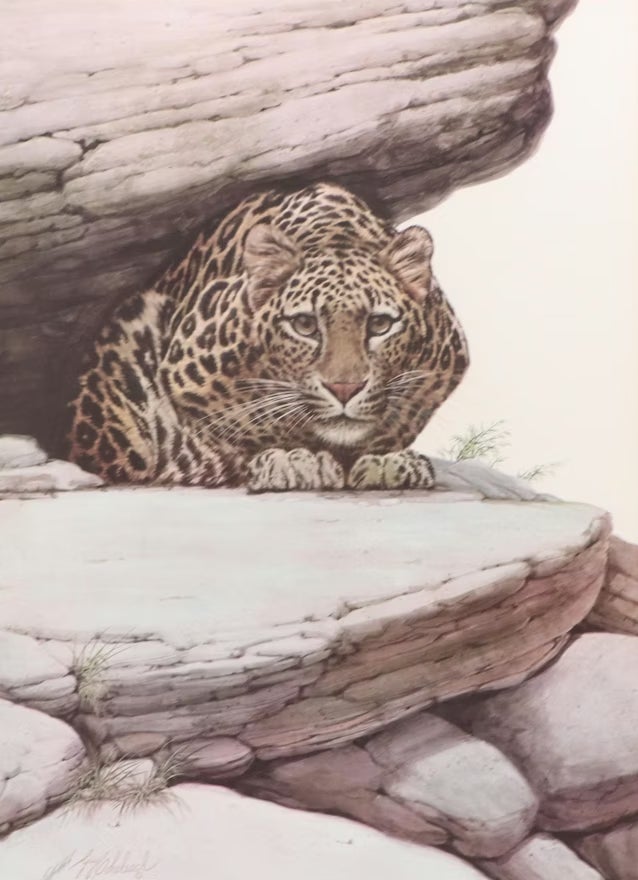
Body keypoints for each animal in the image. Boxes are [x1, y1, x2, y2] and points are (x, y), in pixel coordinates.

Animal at [65, 182, 469, 493]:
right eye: (305, 325)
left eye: (379, 325)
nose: (344, 389)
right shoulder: (186, 372)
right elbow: (244, 424)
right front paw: (293, 458)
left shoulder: (441, 368)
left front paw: (384, 458)